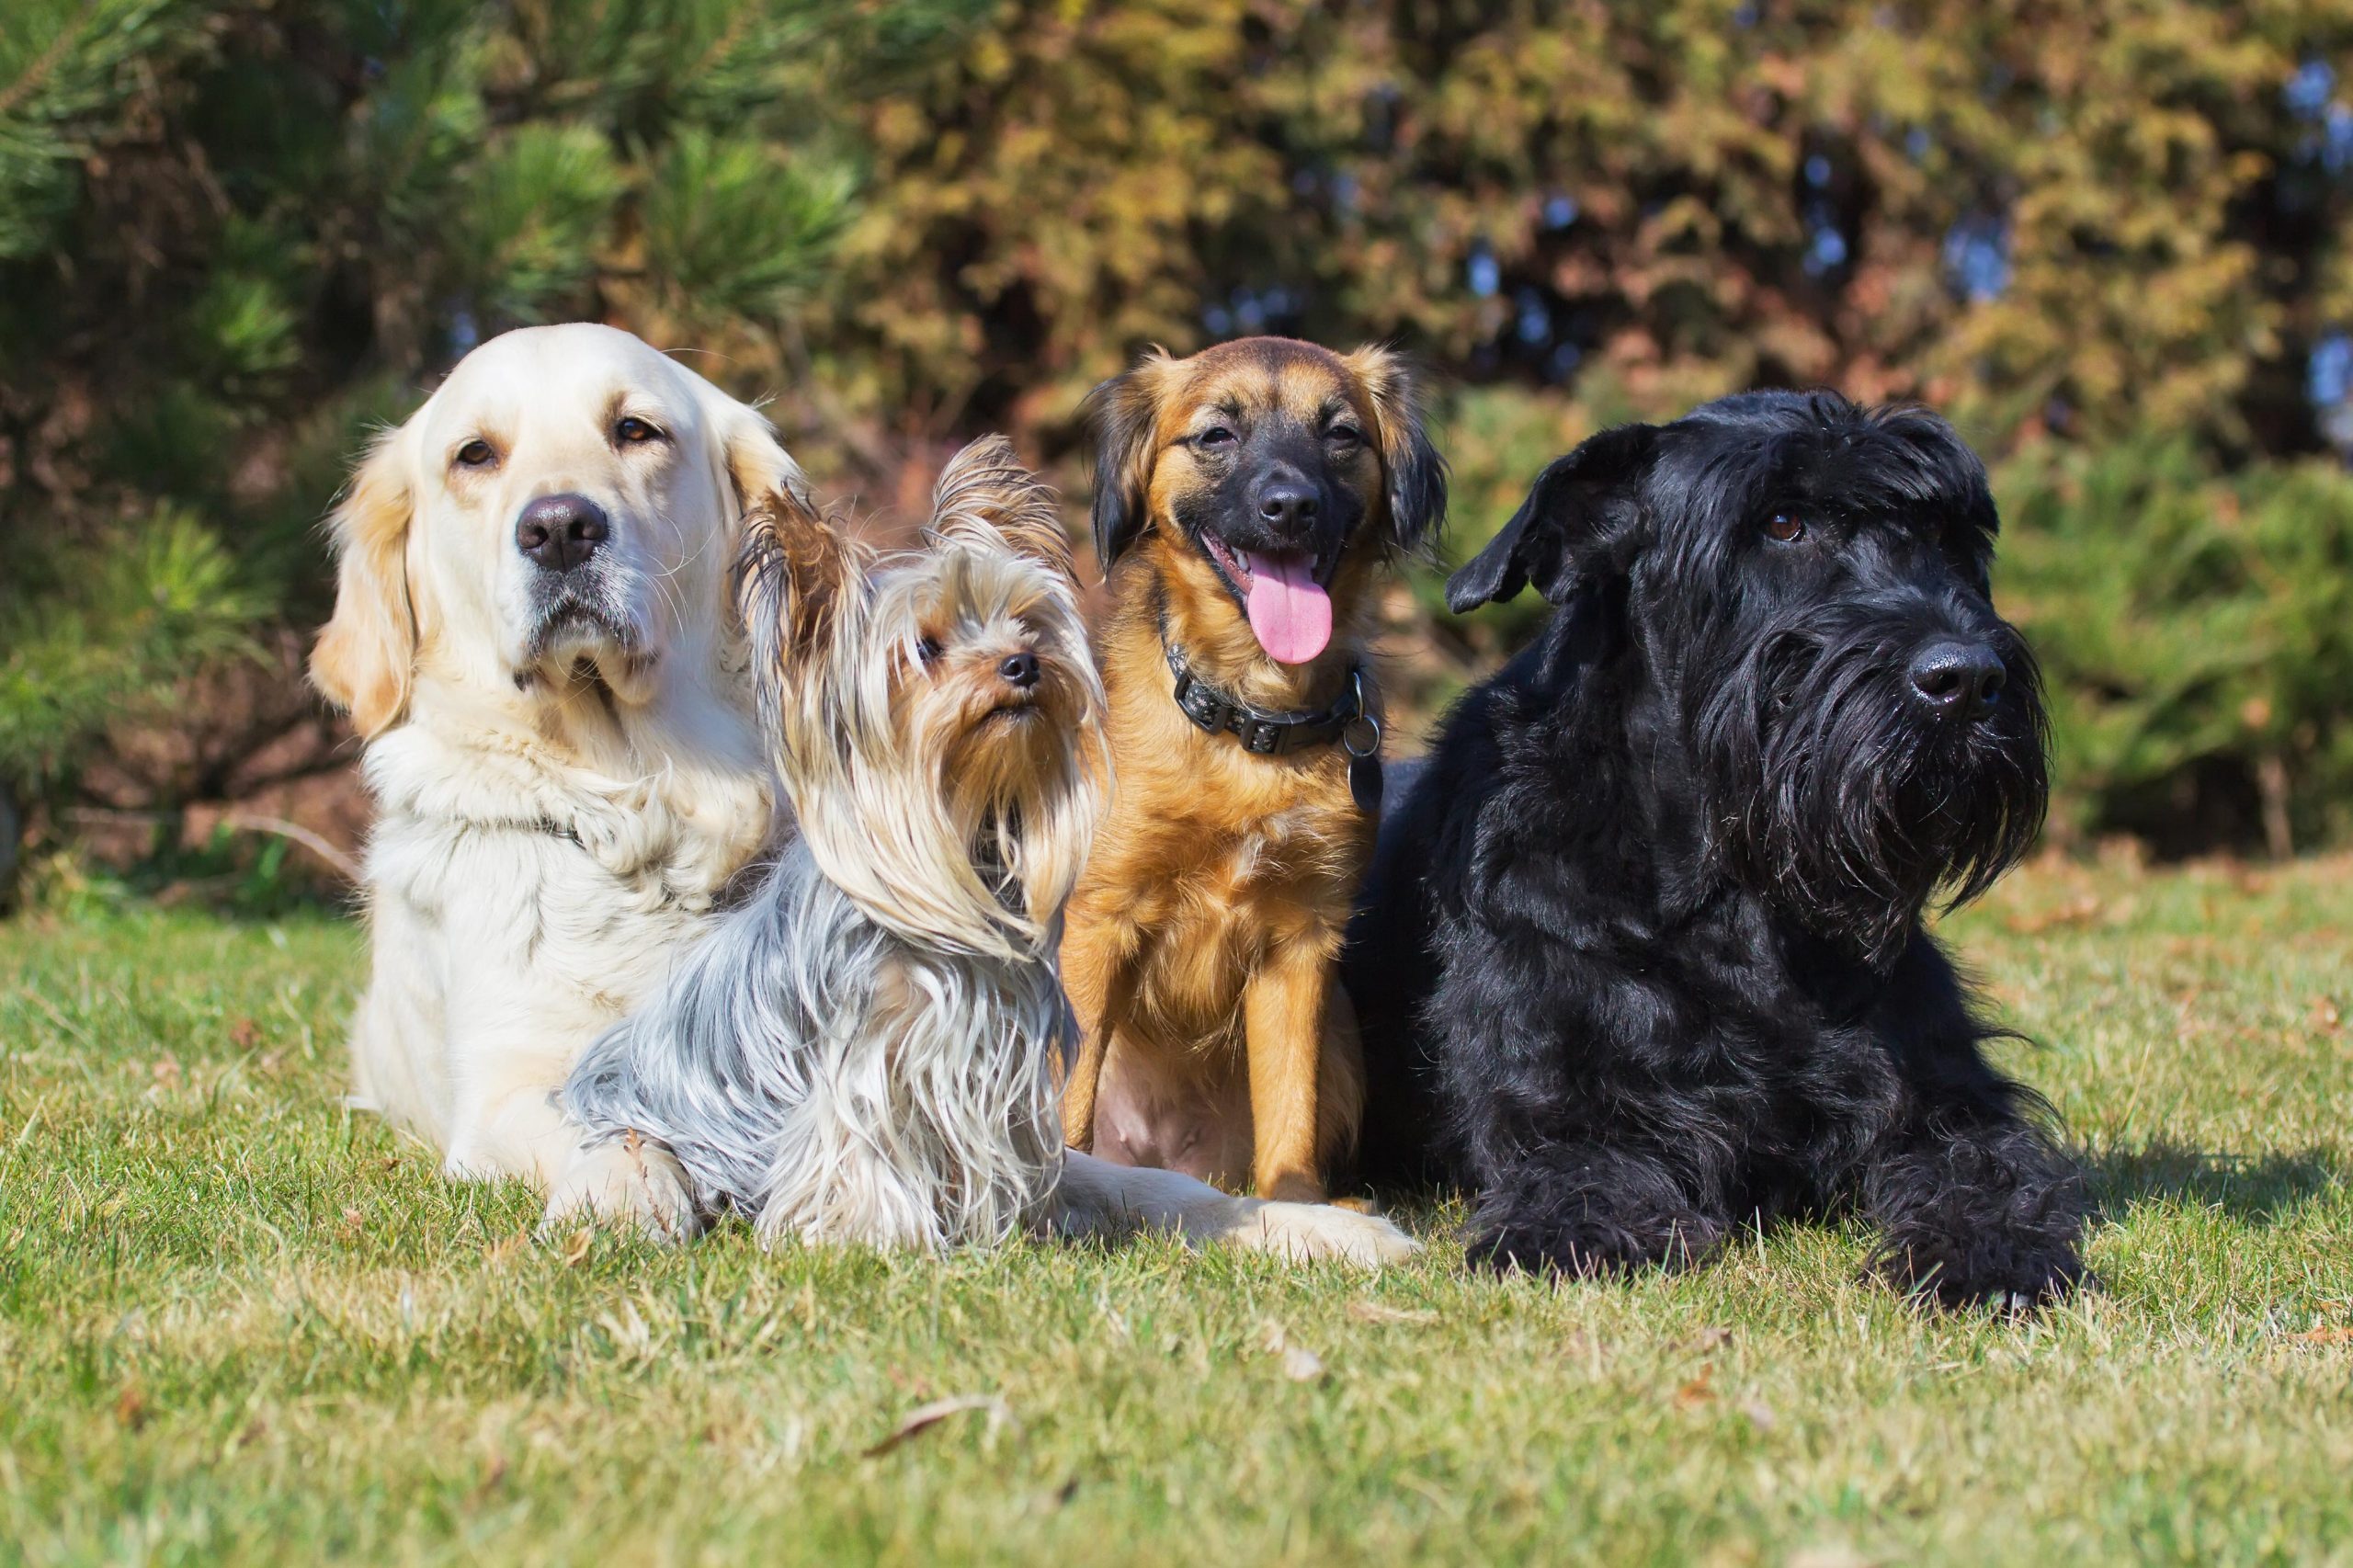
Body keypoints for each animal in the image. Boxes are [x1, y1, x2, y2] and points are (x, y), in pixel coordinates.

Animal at [313, 320, 800, 1187]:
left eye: (635, 429)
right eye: (475, 454)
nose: (561, 529)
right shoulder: (504, 1086)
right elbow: (609, 1134)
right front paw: (632, 1183)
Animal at [1059, 332, 1439, 1196]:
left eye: (1341, 434)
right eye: (1216, 435)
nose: (1290, 505)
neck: (1248, 726)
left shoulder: (1300, 946)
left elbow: (1289, 1115)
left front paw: (1299, 1209)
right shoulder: (1098, 919)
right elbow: (1068, 1093)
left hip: (1342, 1039)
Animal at [1355, 388, 2089, 1309]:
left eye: (1943, 532)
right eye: (1783, 523)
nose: (1967, 680)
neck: (1730, 890)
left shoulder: (1940, 1095)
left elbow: (1984, 1164)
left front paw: (1991, 1255)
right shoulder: (1561, 1094)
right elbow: (1580, 1167)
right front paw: (1573, 1234)